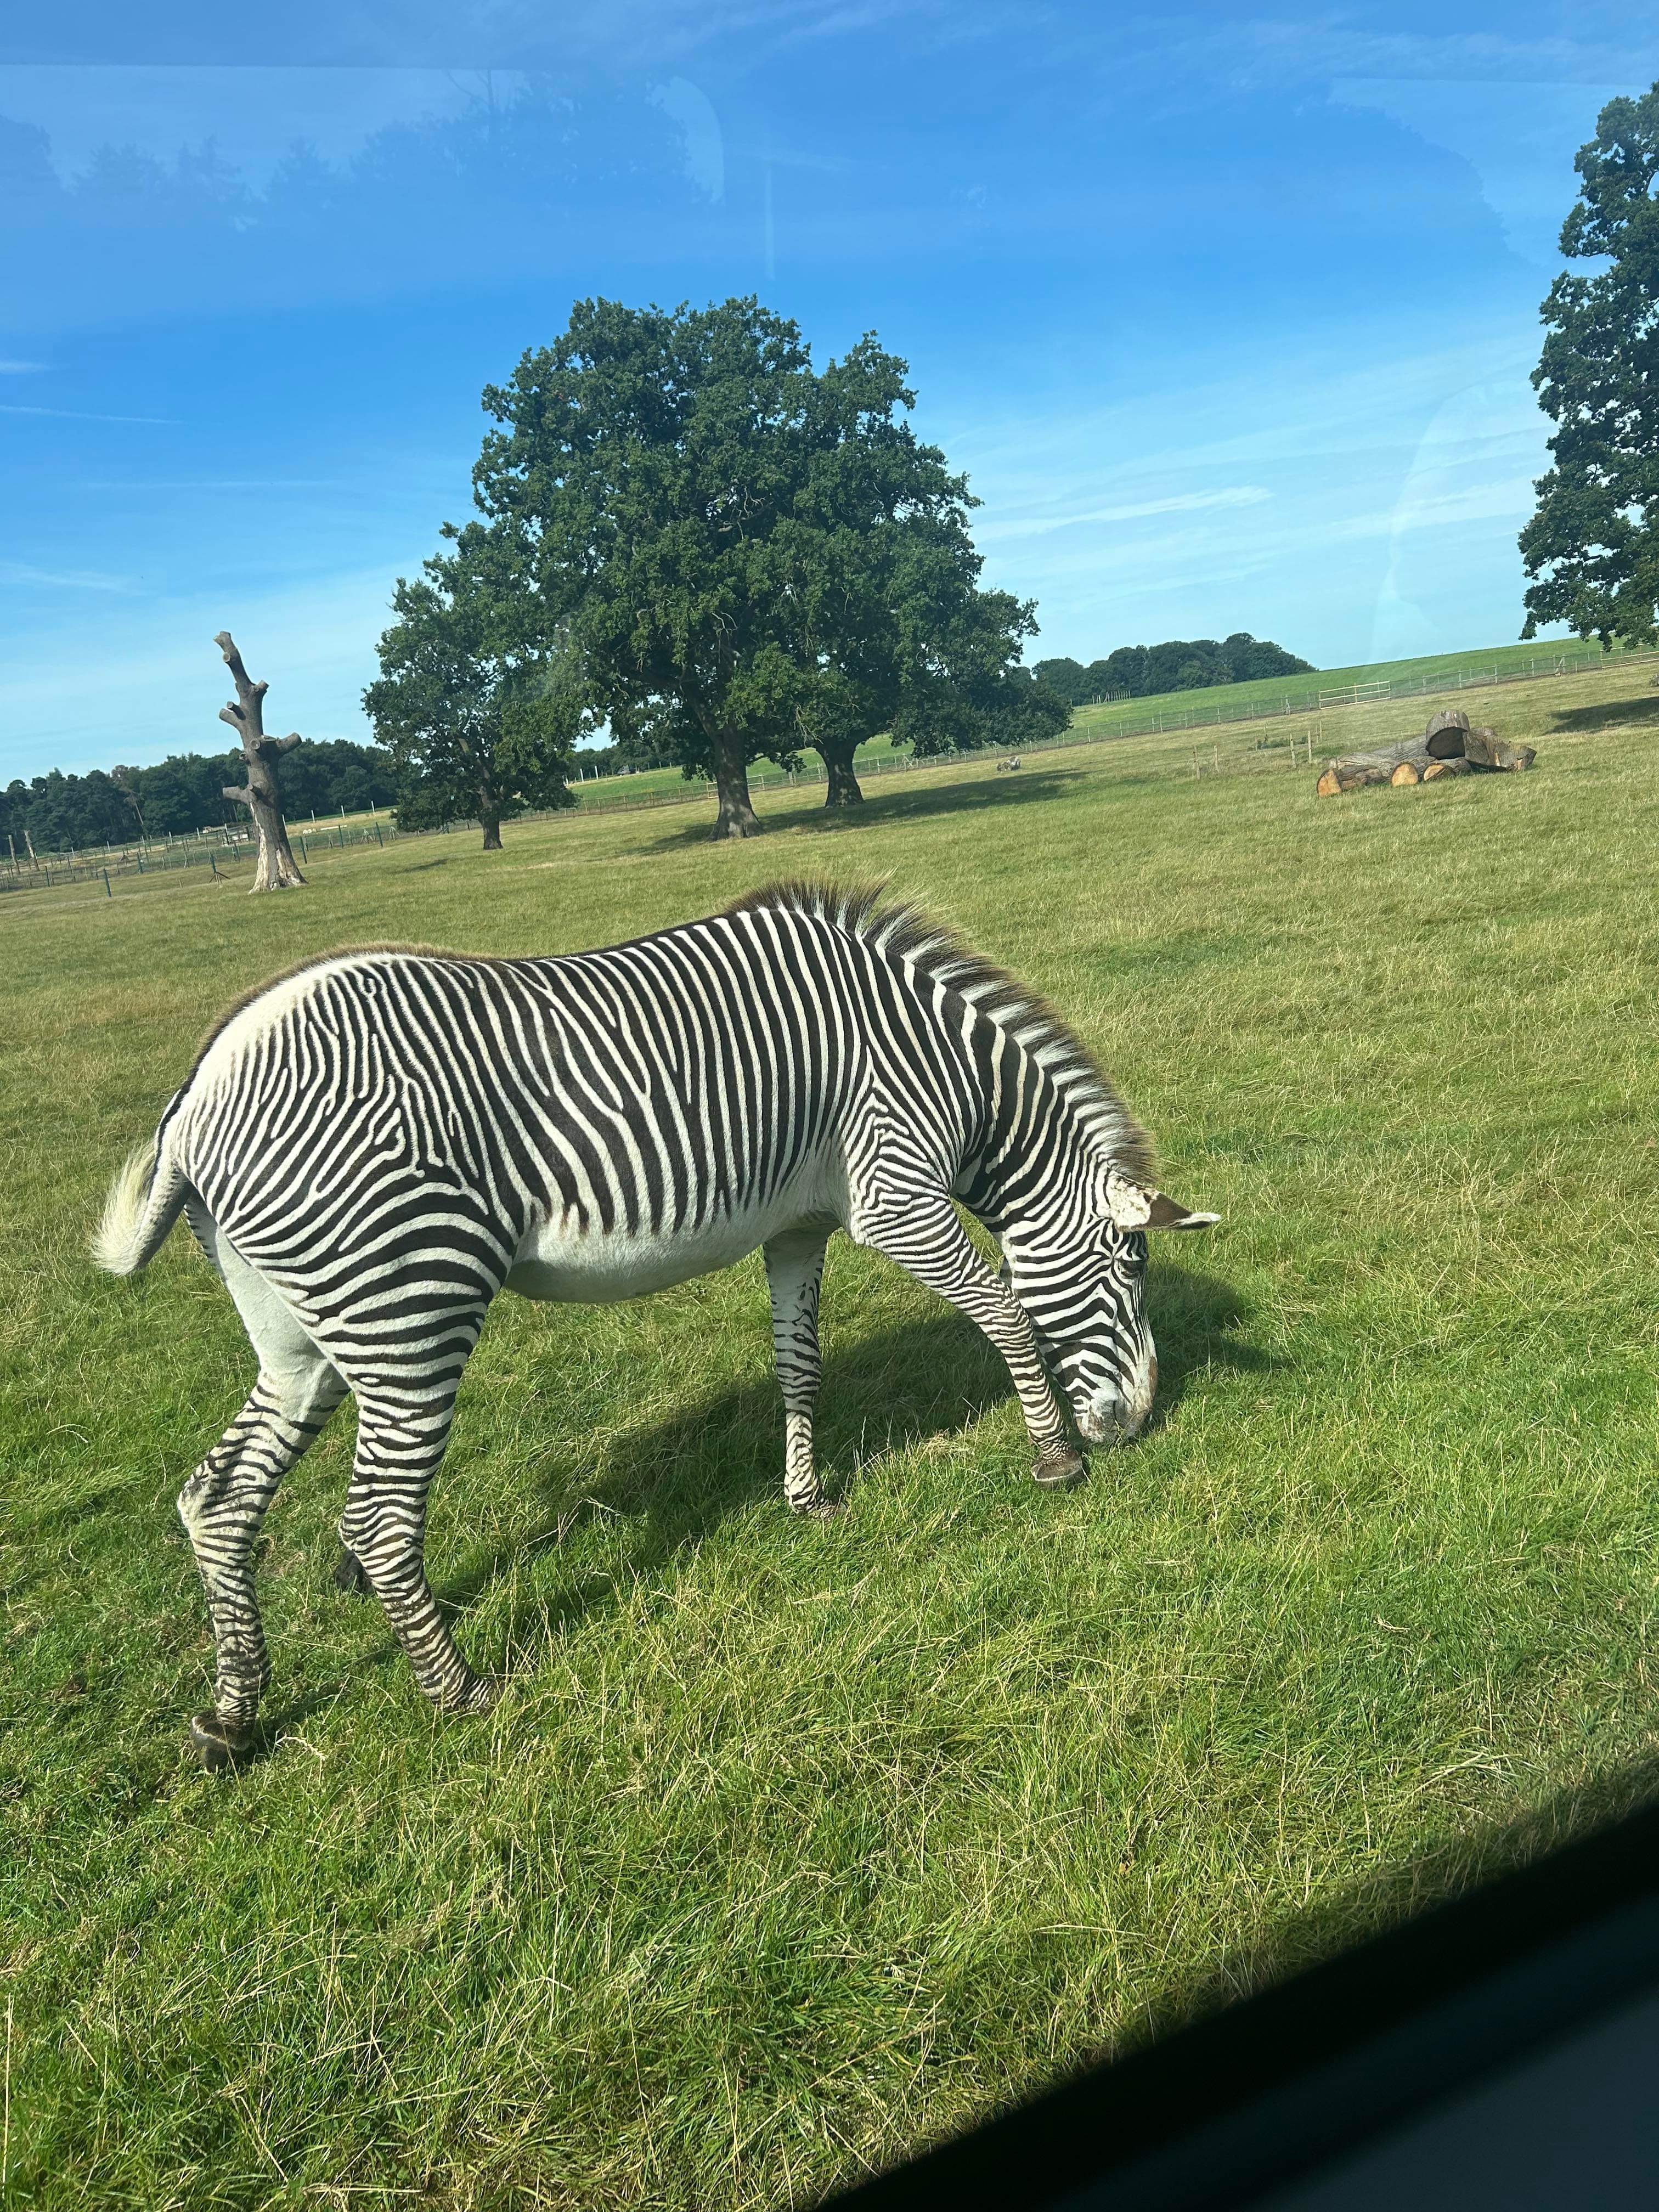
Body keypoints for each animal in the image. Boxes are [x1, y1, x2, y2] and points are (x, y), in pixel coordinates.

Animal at [94, 876, 1221, 1760]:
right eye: (1129, 1263)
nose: (1136, 1425)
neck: (942, 1064)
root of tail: (196, 1098)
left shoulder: (799, 1225)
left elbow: (800, 1365)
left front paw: (808, 1497)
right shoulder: (893, 1197)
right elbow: (1005, 1312)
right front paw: (1053, 1457)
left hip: (301, 1338)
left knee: (218, 1498)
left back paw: (233, 1715)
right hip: (411, 1303)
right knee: (374, 1518)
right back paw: (462, 1692)